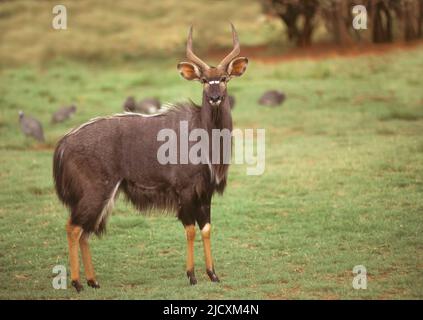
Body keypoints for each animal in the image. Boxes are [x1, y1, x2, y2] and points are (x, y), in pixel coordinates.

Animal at [53, 23, 248, 292]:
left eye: (225, 78)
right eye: (204, 80)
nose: (215, 97)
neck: (203, 132)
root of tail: (64, 143)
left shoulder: (205, 192)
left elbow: (206, 228)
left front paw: (213, 274)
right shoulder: (185, 191)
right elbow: (190, 230)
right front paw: (192, 275)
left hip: (102, 196)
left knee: (85, 231)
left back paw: (93, 281)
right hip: (95, 192)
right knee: (73, 228)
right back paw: (77, 283)